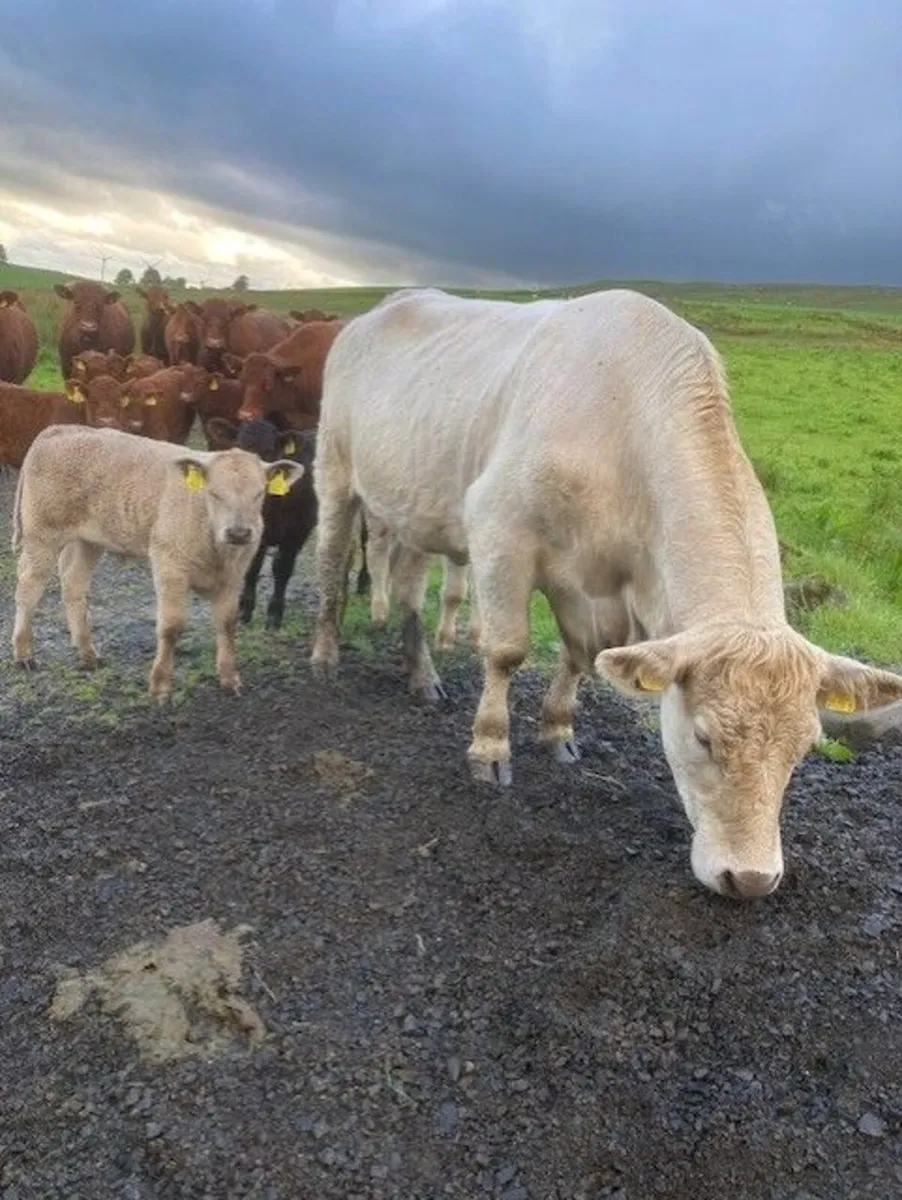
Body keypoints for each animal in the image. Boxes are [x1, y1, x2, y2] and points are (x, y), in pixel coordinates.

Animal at [11, 425, 304, 697]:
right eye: (214, 493)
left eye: (259, 493)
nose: (239, 532)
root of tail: (62, 429)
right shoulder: (169, 566)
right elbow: (171, 626)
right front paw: (160, 685)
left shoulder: (234, 576)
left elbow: (227, 624)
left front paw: (230, 679)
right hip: (42, 534)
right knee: (28, 587)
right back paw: (24, 654)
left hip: (89, 541)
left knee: (73, 584)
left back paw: (88, 654)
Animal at [309, 286, 902, 901]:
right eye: (703, 738)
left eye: (803, 748)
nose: (752, 878)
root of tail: (390, 303)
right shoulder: (499, 527)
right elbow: (506, 652)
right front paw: (491, 748)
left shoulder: (594, 585)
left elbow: (580, 657)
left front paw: (557, 731)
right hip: (334, 469)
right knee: (331, 561)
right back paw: (325, 655)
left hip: (413, 506)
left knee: (407, 588)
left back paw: (421, 675)